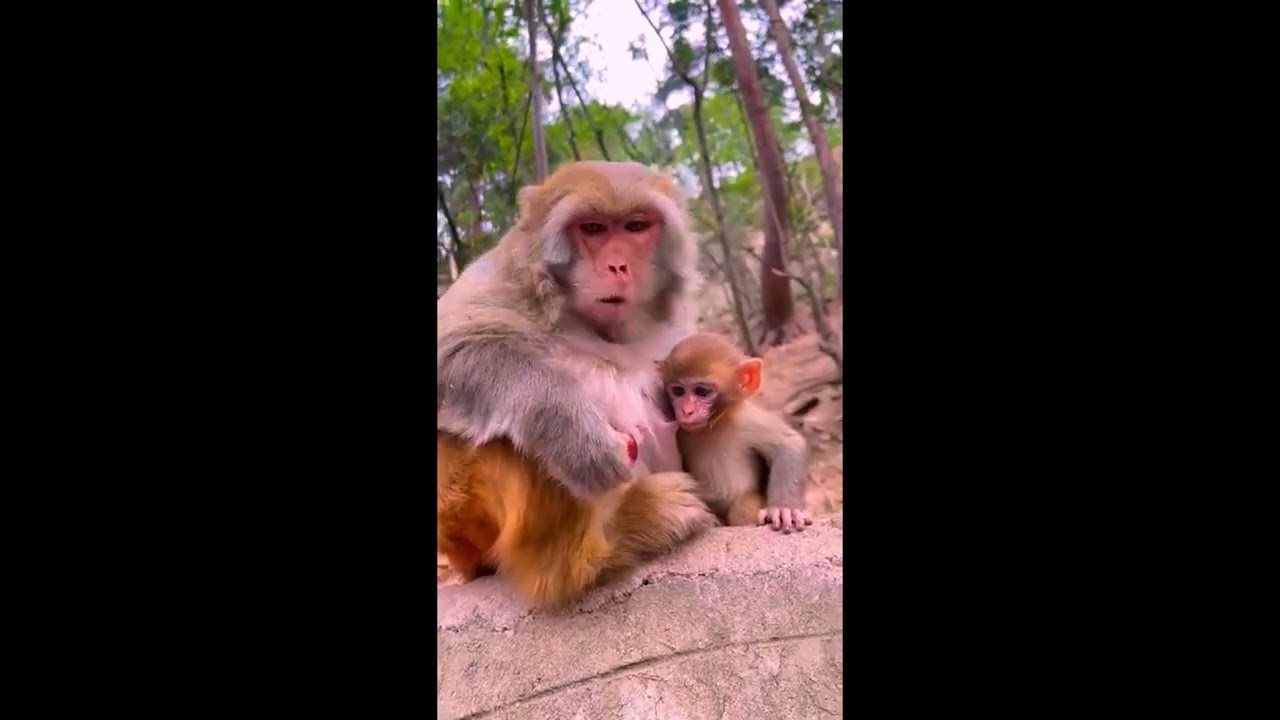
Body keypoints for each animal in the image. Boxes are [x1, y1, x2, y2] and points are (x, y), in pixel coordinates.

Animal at [437, 161, 717, 607]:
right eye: (594, 228)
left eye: (635, 226)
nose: (618, 267)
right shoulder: (505, 276)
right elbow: (454, 343)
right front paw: (574, 432)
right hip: (459, 509)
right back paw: (596, 546)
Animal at [657, 332, 813, 534]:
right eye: (678, 391)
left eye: (702, 391)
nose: (686, 411)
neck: (713, 426)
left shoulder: (745, 419)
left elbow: (789, 444)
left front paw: (784, 509)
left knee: (742, 505)